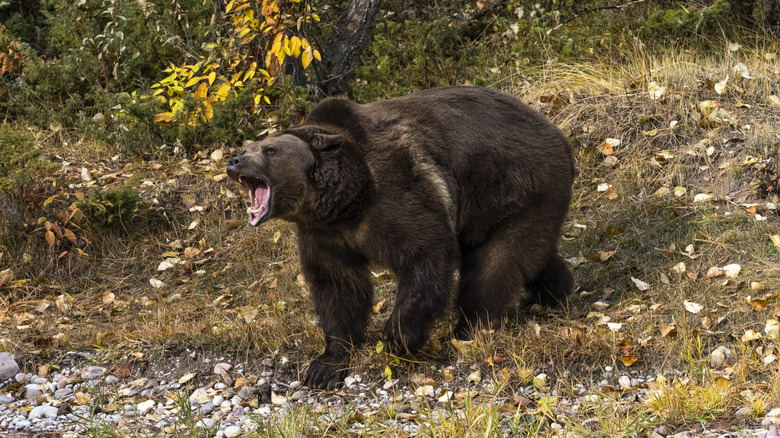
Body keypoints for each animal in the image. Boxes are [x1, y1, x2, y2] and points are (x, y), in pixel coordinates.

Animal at [225, 87, 572, 388]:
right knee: (529, 254)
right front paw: (325, 365)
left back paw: (469, 326)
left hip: (517, 184)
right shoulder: (324, 235)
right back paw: (554, 292)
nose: (235, 160)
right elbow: (337, 286)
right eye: (245, 149)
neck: (349, 202)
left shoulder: (396, 193)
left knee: (495, 263)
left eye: (270, 150)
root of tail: (557, 132)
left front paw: (398, 335)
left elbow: (425, 251)